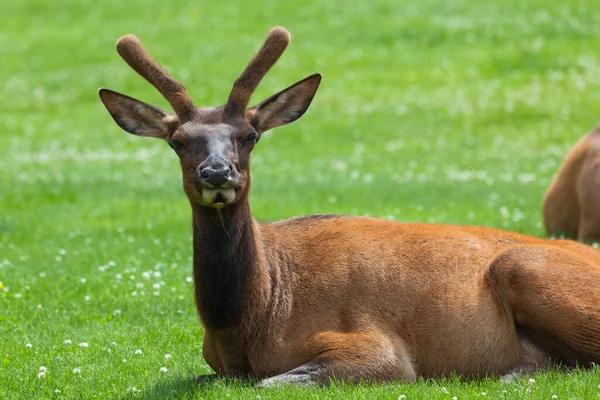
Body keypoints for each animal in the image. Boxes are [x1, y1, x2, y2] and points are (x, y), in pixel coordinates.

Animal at [98, 25, 600, 388]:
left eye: (250, 136)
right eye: (178, 141)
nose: (217, 173)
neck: (252, 319)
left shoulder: (377, 348)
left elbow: (269, 382)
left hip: (525, 266)